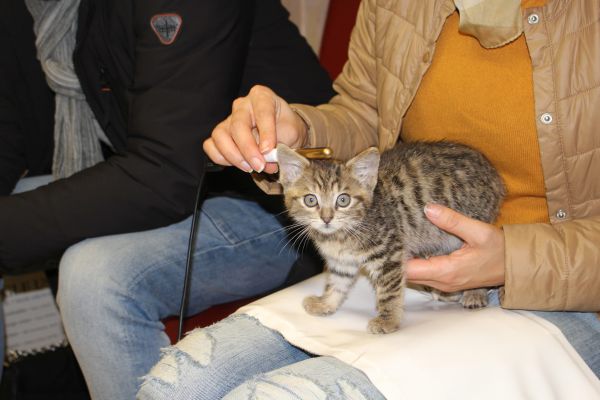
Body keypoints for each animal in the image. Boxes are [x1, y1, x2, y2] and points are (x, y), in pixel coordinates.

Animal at [278, 141, 504, 334]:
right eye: (310, 200)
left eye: (343, 200)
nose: (326, 219)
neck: (340, 236)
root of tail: (493, 175)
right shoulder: (341, 261)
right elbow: (338, 282)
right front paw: (326, 303)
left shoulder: (389, 251)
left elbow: (389, 291)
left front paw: (388, 320)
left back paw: (474, 293)